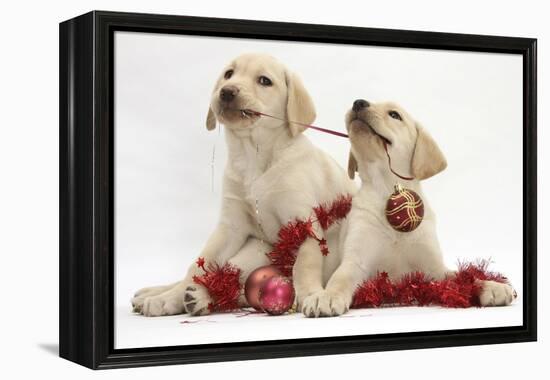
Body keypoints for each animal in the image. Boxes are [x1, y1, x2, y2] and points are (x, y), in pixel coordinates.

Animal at [132, 52, 356, 316]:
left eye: (264, 81)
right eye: (229, 74)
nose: (227, 91)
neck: (253, 157)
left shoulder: (304, 222)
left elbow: (305, 263)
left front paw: (312, 294)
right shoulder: (230, 227)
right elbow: (198, 265)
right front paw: (170, 296)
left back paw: (195, 298)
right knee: (219, 278)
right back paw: (164, 295)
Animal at [304, 99, 520, 316]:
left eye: (394, 115)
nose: (358, 102)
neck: (388, 187)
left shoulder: (434, 268)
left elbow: (462, 277)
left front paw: (489, 285)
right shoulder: (355, 261)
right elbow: (340, 279)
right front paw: (326, 295)